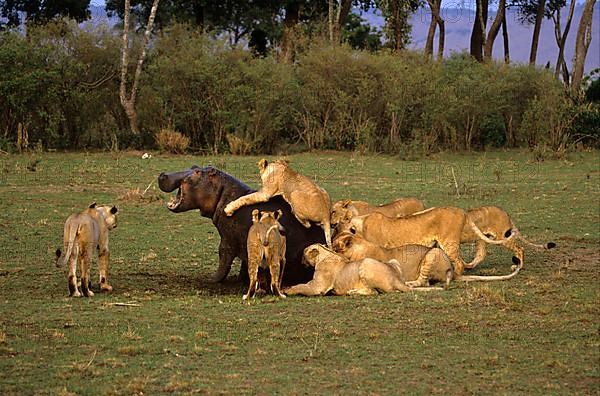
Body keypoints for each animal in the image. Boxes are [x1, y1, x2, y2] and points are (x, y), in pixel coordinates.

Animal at [284, 243, 442, 296]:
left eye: (304, 253)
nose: (300, 260)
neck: (325, 254)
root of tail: (397, 279)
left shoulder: (318, 287)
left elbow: (301, 286)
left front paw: (287, 290)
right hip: (393, 261)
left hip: (366, 263)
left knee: (373, 292)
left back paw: (353, 292)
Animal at [332, 230, 520, 286]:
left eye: (335, 246)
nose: (328, 246)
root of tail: (453, 271)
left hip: (433, 254)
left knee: (423, 281)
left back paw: (410, 283)